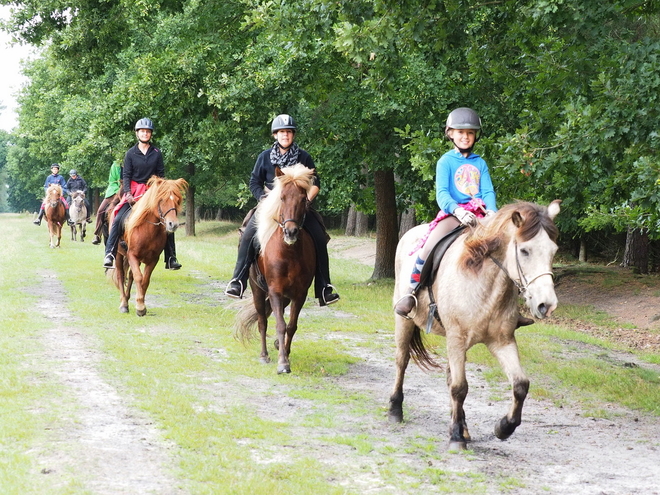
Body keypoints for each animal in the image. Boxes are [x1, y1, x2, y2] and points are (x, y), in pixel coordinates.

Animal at [110, 177, 188, 318]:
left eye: (177, 200)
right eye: (161, 199)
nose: (173, 224)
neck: (148, 230)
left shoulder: (153, 259)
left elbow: (145, 280)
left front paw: (141, 305)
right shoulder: (132, 255)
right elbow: (139, 277)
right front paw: (140, 306)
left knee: (130, 275)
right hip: (119, 254)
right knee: (121, 275)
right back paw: (124, 304)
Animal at [236, 165, 318, 374]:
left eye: (303, 199)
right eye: (281, 197)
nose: (290, 232)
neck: (289, 253)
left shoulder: (300, 294)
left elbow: (291, 326)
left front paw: (285, 353)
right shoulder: (275, 291)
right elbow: (280, 324)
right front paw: (282, 363)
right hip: (257, 289)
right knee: (262, 321)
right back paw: (264, 355)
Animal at [390, 200, 560, 452]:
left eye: (553, 251)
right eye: (524, 251)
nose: (546, 305)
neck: (485, 285)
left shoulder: (502, 341)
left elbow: (520, 384)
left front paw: (503, 427)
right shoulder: (456, 339)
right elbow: (460, 387)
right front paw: (456, 438)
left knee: (450, 376)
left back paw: (463, 427)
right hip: (405, 321)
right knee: (402, 361)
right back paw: (395, 410)